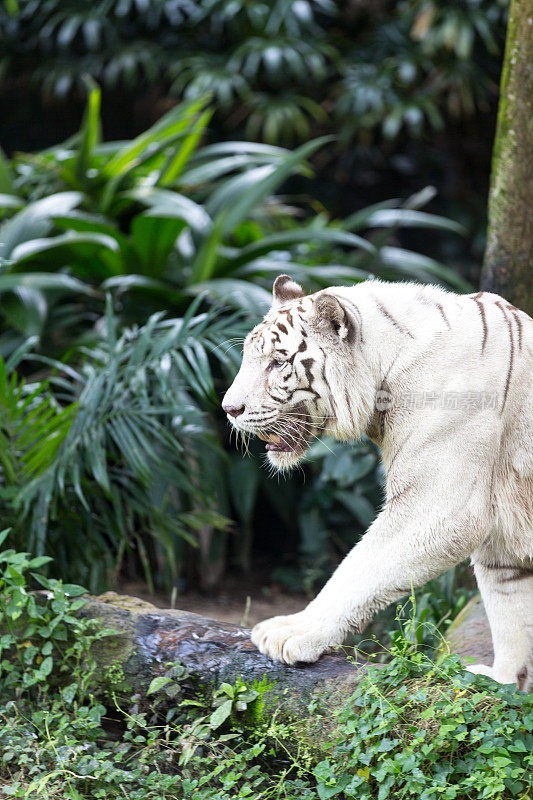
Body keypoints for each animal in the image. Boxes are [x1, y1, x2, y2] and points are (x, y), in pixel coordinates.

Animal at [221, 274, 532, 688]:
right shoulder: (504, 538)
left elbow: (358, 570)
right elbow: (511, 609)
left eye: (277, 362)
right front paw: (505, 682)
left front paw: (291, 632)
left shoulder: (437, 507)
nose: (229, 409)